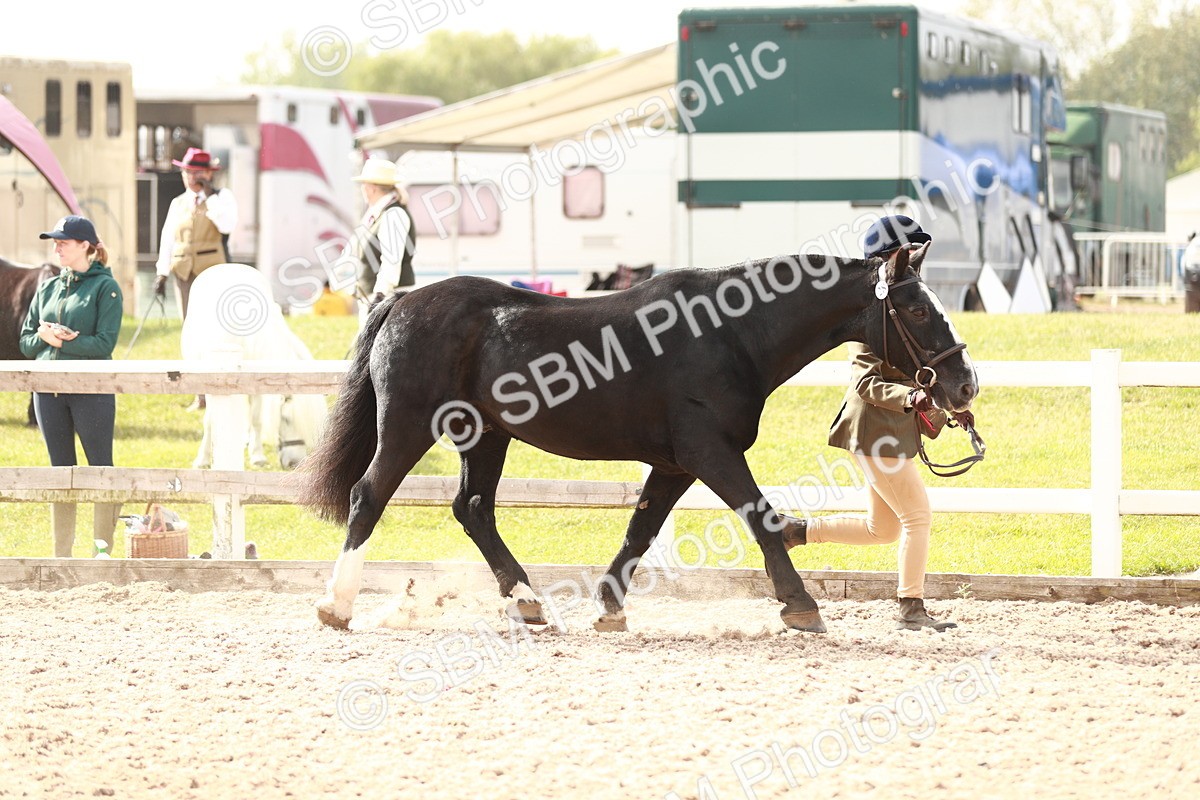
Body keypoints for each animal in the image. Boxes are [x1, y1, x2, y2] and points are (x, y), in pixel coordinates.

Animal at [180, 263, 327, 470]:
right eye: (286, 419)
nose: (295, 463)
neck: (245, 339)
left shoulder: (257, 387)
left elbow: (256, 419)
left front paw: (257, 455)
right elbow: (209, 421)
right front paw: (202, 459)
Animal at [298, 244, 977, 633]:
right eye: (916, 309)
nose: (963, 384)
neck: (728, 333)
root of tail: (403, 300)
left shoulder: (676, 463)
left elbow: (641, 529)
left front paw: (610, 607)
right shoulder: (709, 452)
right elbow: (759, 515)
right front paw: (800, 604)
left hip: (486, 435)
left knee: (473, 509)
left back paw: (528, 602)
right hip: (409, 427)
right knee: (368, 497)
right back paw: (336, 607)